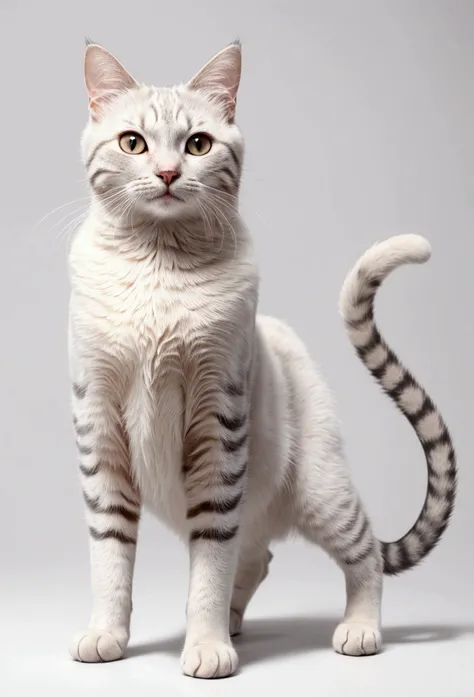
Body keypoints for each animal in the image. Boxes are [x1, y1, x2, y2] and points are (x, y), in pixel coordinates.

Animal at [67, 40, 456, 676]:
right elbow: (110, 559)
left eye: (198, 144)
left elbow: (209, 567)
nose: (168, 173)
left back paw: (358, 630)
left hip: (322, 490)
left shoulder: (217, 421)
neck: (158, 265)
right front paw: (107, 636)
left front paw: (205, 648)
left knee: (363, 555)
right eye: (133, 143)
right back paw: (232, 622)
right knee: (255, 555)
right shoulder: (98, 428)